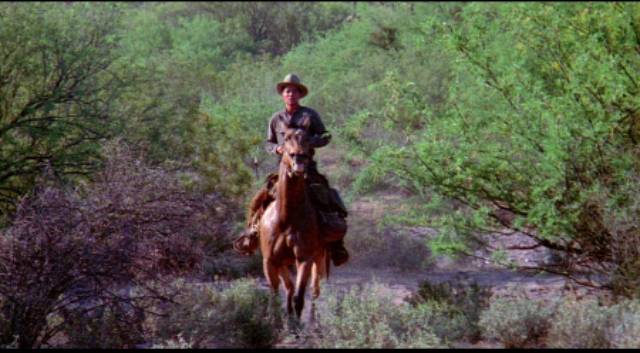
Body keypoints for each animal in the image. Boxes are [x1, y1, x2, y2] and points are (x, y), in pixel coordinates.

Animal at [258, 124, 328, 320]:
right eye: (286, 137)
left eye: (308, 138)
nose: (299, 158)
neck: (286, 219)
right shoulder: (270, 260)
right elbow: (275, 295)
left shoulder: (304, 258)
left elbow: (299, 297)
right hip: (283, 262)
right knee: (288, 288)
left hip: (319, 257)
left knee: (314, 290)